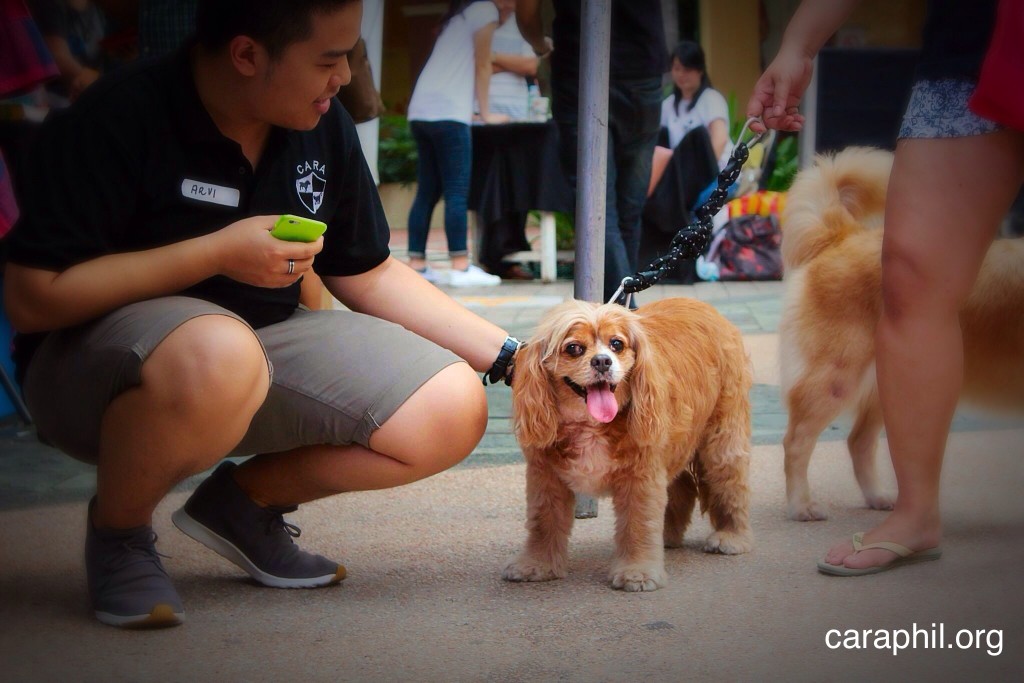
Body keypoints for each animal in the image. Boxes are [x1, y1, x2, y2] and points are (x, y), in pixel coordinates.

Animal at [501, 299, 753, 593]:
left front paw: (638, 572)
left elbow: (637, 524)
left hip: (721, 441)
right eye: (573, 348)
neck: (589, 425)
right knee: (684, 487)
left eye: (616, 344)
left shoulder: (641, 476)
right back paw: (668, 536)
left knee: (730, 484)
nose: (602, 361)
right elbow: (543, 521)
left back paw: (731, 536)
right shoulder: (546, 477)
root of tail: (706, 307)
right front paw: (537, 565)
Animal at [778, 147, 1019, 520]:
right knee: (797, 440)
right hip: (836, 377)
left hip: (891, 380)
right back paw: (801, 505)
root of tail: (846, 234)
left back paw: (878, 496)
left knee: (858, 441)